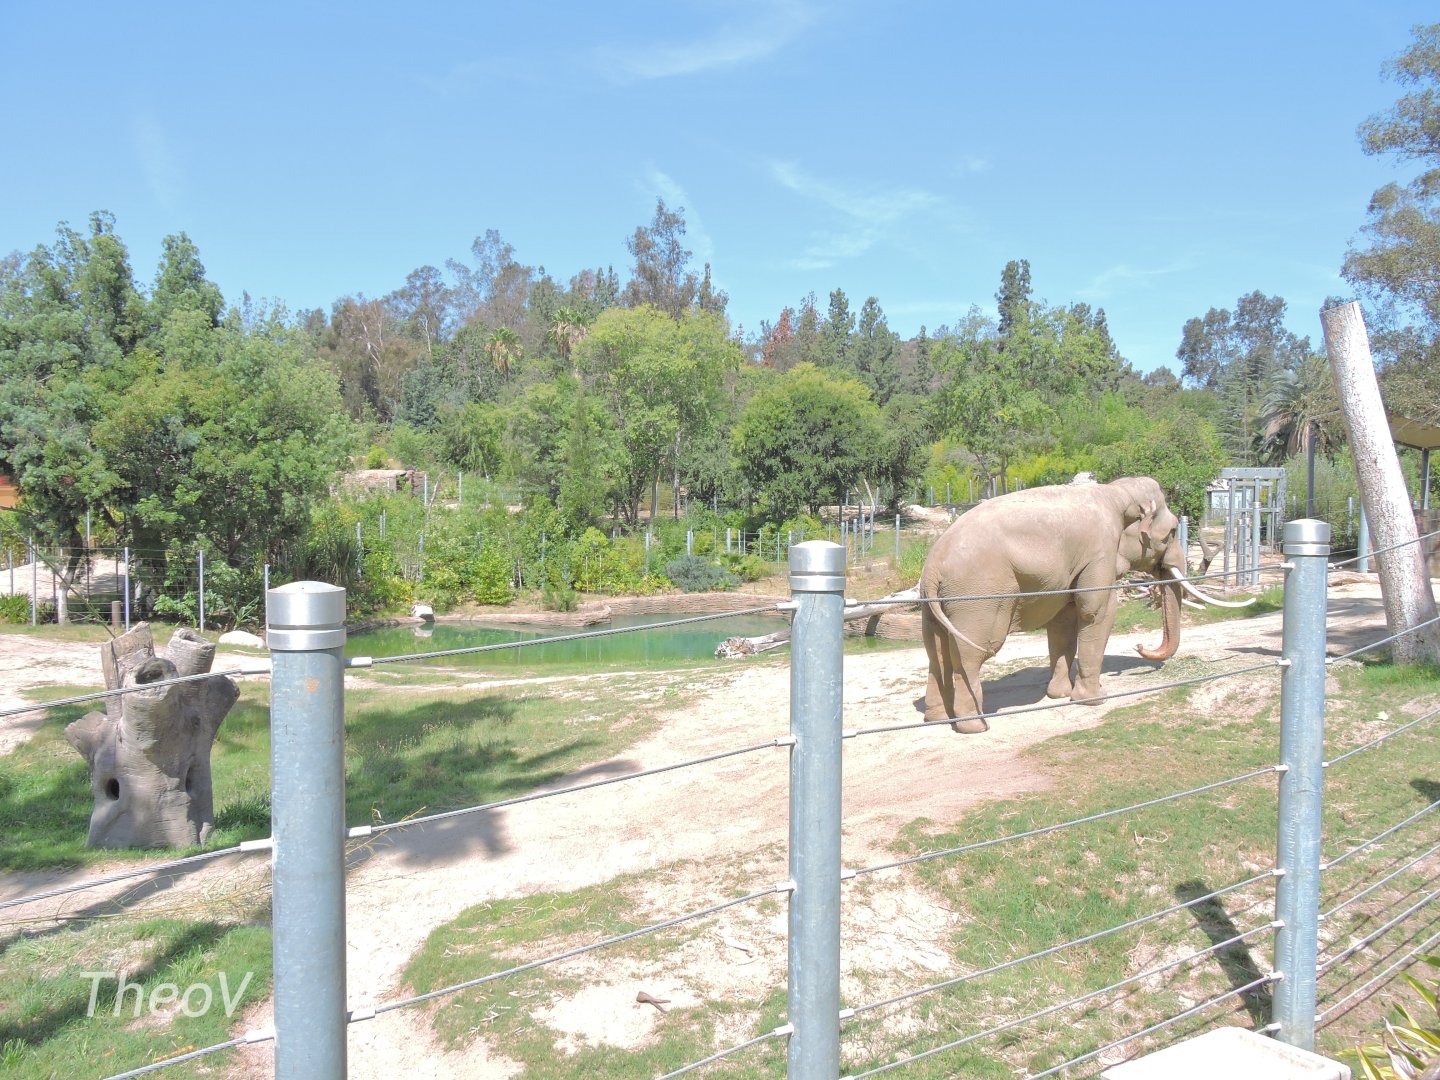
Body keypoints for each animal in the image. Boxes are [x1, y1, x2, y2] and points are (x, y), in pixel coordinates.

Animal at [919, 476, 1243, 734]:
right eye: (1173, 532)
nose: (1139, 645)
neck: (1116, 492)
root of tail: (933, 565)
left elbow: (1063, 623)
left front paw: (1059, 696)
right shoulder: (1100, 552)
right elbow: (1097, 611)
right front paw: (1096, 699)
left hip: (933, 602)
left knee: (936, 652)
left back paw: (937, 719)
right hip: (978, 597)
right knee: (973, 654)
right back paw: (975, 726)